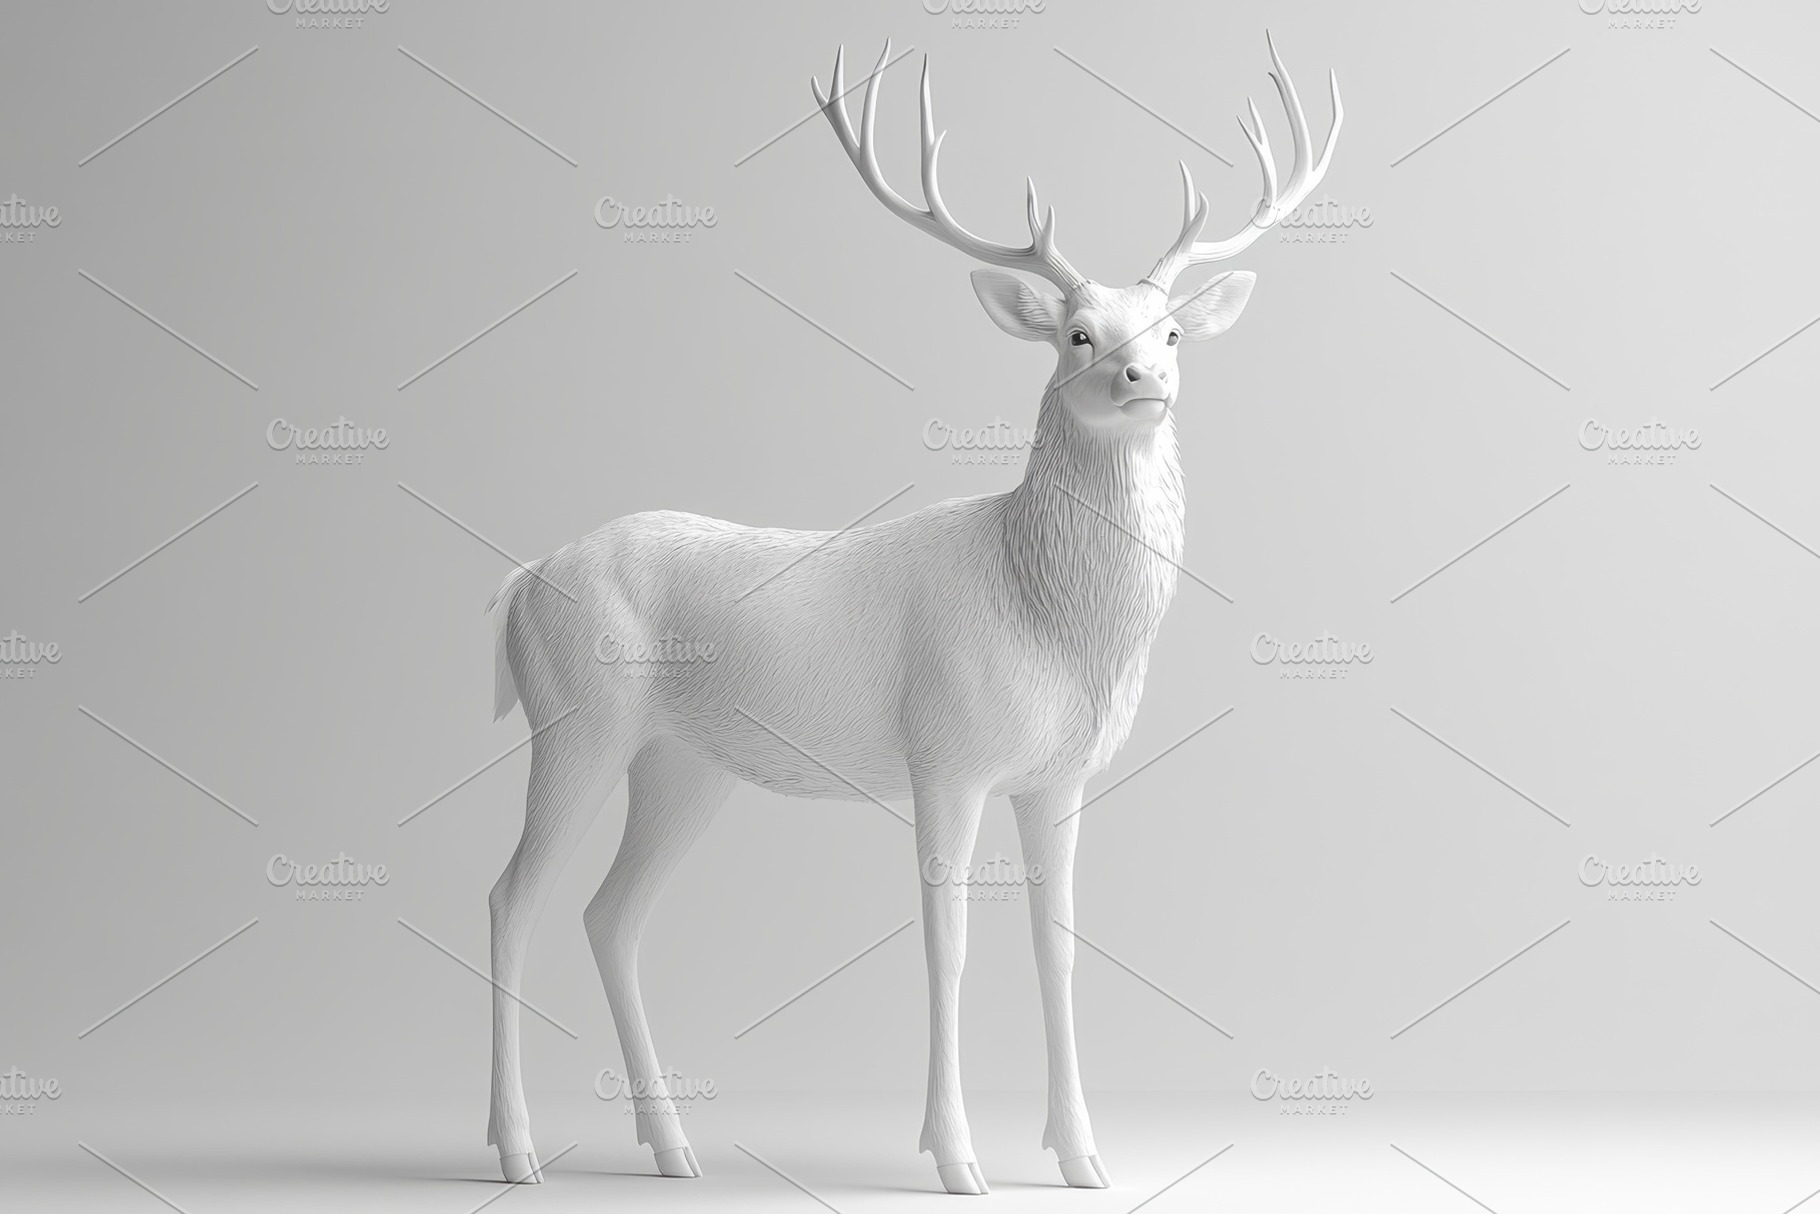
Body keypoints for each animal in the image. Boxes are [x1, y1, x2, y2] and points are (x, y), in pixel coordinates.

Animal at [481, 33, 1341, 1195]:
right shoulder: (945, 754)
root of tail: (521, 579)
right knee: (511, 898)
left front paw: (1082, 1156)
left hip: (684, 765)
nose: (1142, 375)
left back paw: (672, 1147)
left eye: (1170, 329)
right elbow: (947, 944)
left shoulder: (1059, 774)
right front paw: (954, 1156)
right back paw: (516, 1147)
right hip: (573, 722)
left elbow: (1058, 941)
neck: (1053, 621)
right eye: (1076, 334)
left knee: (608, 914)